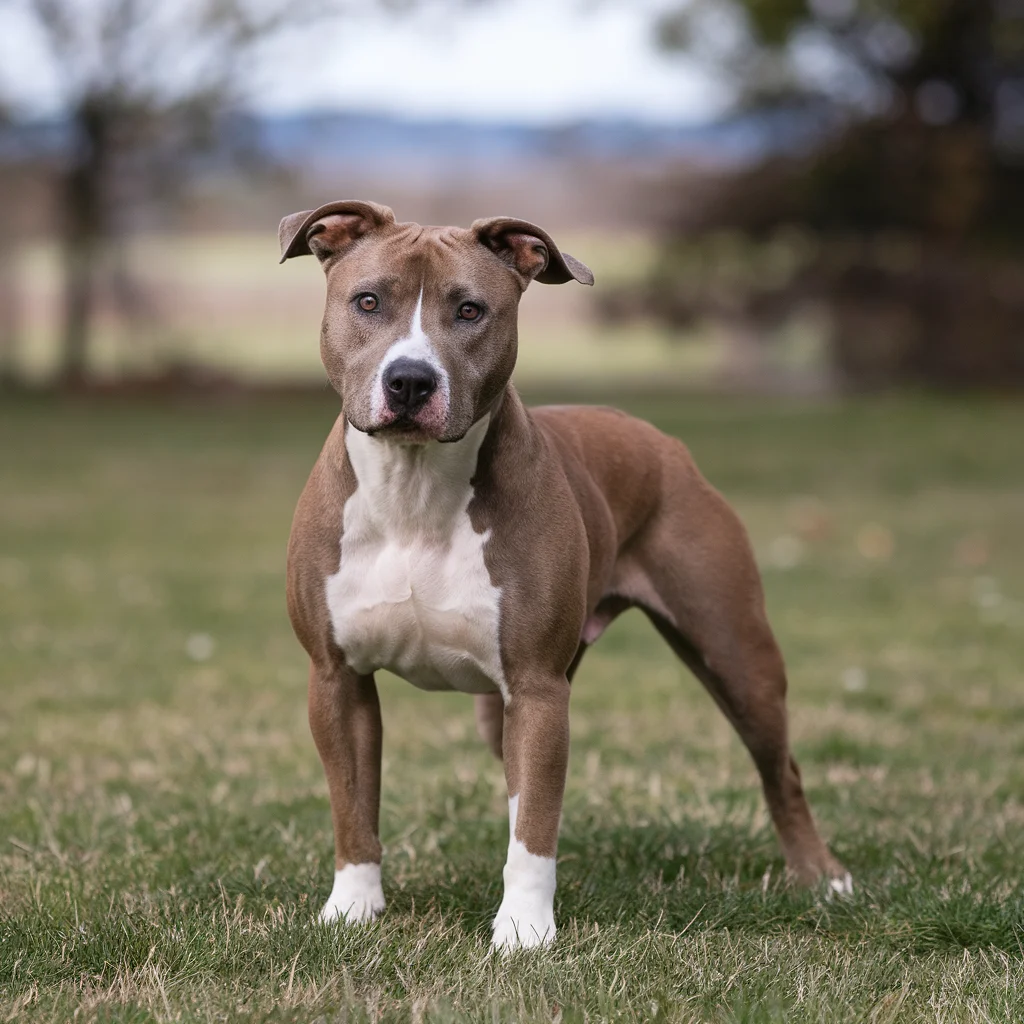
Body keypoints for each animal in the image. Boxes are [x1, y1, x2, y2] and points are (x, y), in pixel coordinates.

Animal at [278, 197, 847, 950]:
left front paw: (523, 930)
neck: (414, 489)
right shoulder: (337, 678)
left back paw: (821, 878)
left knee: (781, 768)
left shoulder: (538, 688)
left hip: (736, 654)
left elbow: (535, 827)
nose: (410, 381)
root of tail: (657, 438)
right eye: (368, 301)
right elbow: (352, 803)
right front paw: (352, 908)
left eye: (470, 310)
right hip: (504, 707)